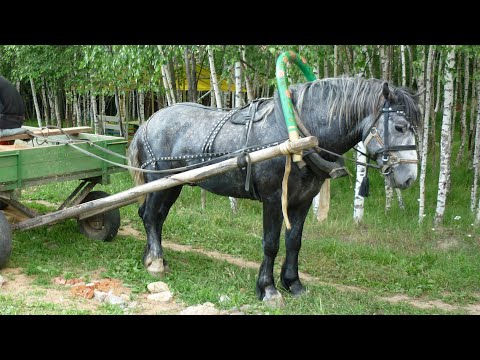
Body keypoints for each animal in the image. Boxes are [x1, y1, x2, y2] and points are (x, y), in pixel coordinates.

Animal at [127, 77, 420, 302]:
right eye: (399, 126)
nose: (409, 179)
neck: (296, 136)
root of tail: (148, 122)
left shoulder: (302, 200)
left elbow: (294, 242)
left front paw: (293, 284)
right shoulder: (273, 199)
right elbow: (271, 243)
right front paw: (267, 289)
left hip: (171, 185)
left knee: (154, 217)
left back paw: (152, 257)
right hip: (160, 182)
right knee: (151, 216)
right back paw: (156, 262)